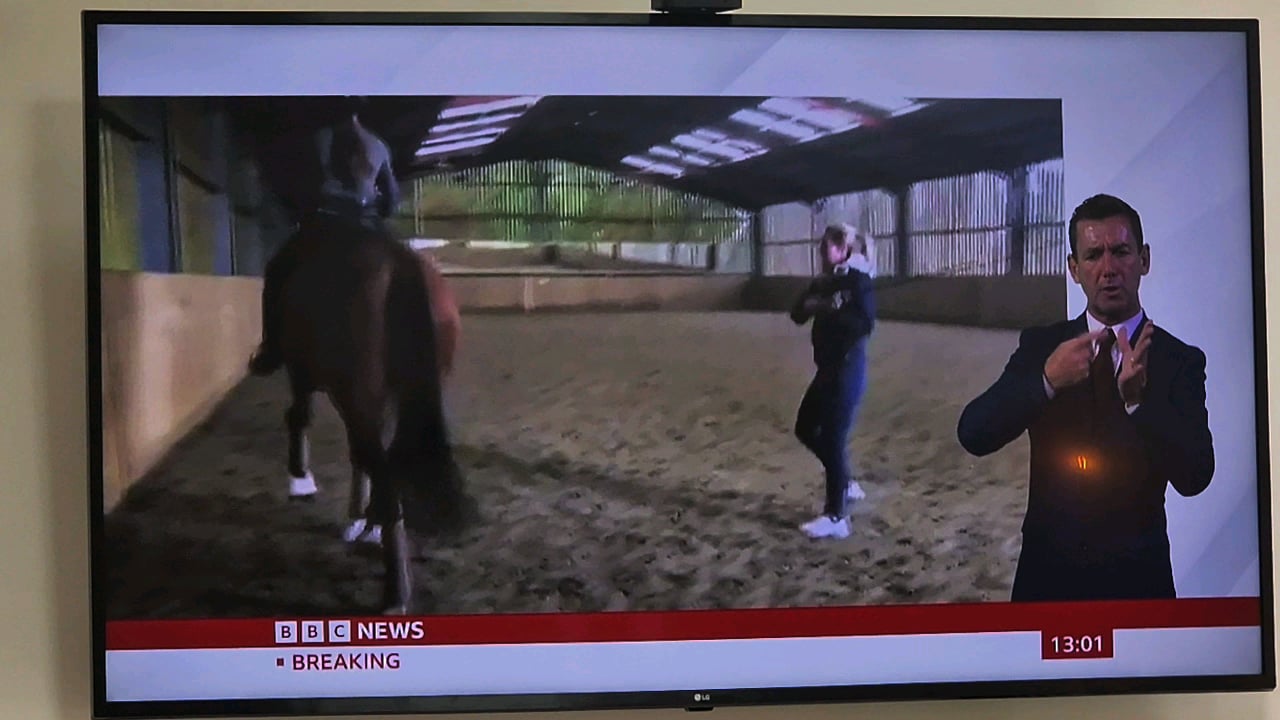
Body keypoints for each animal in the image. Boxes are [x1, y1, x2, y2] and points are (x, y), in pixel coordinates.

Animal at [277, 208, 478, 609]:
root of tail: (398, 261)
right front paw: (356, 517)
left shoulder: (304, 372)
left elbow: (301, 416)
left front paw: (301, 479)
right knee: (390, 462)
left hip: (351, 391)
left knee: (383, 471)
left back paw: (394, 593)